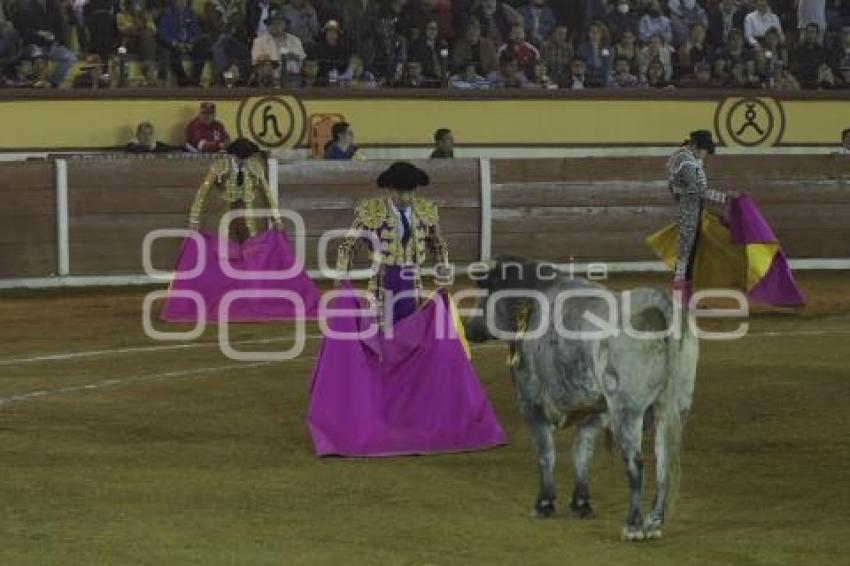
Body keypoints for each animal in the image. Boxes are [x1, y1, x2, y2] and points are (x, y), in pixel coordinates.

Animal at [464, 260, 696, 544]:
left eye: (483, 292)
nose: (470, 329)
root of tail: (656, 303)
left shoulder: (530, 404)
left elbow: (546, 455)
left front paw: (544, 504)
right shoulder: (593, 412)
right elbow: (581, 454)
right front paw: (581, 504)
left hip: (626, 410)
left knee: (635, 463)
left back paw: (633, 525)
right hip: (674, 407)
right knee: (664, 463)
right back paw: (654, 522)